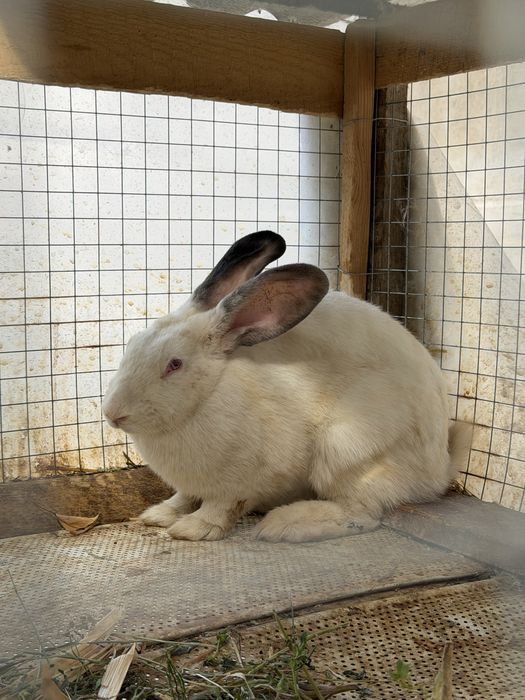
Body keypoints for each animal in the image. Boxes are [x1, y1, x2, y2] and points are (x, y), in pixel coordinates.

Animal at [102, 230, 468, 543]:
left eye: (175, 364)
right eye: (131, 344)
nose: (112, 414)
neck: (208, 395)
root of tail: (438, 470)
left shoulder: (239, 482)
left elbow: (221, 506)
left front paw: (193, 529)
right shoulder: (192, 485)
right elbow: (183, 497)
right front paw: (158, 514)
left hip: (346, 450)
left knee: (363, 513)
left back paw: (285, 524)